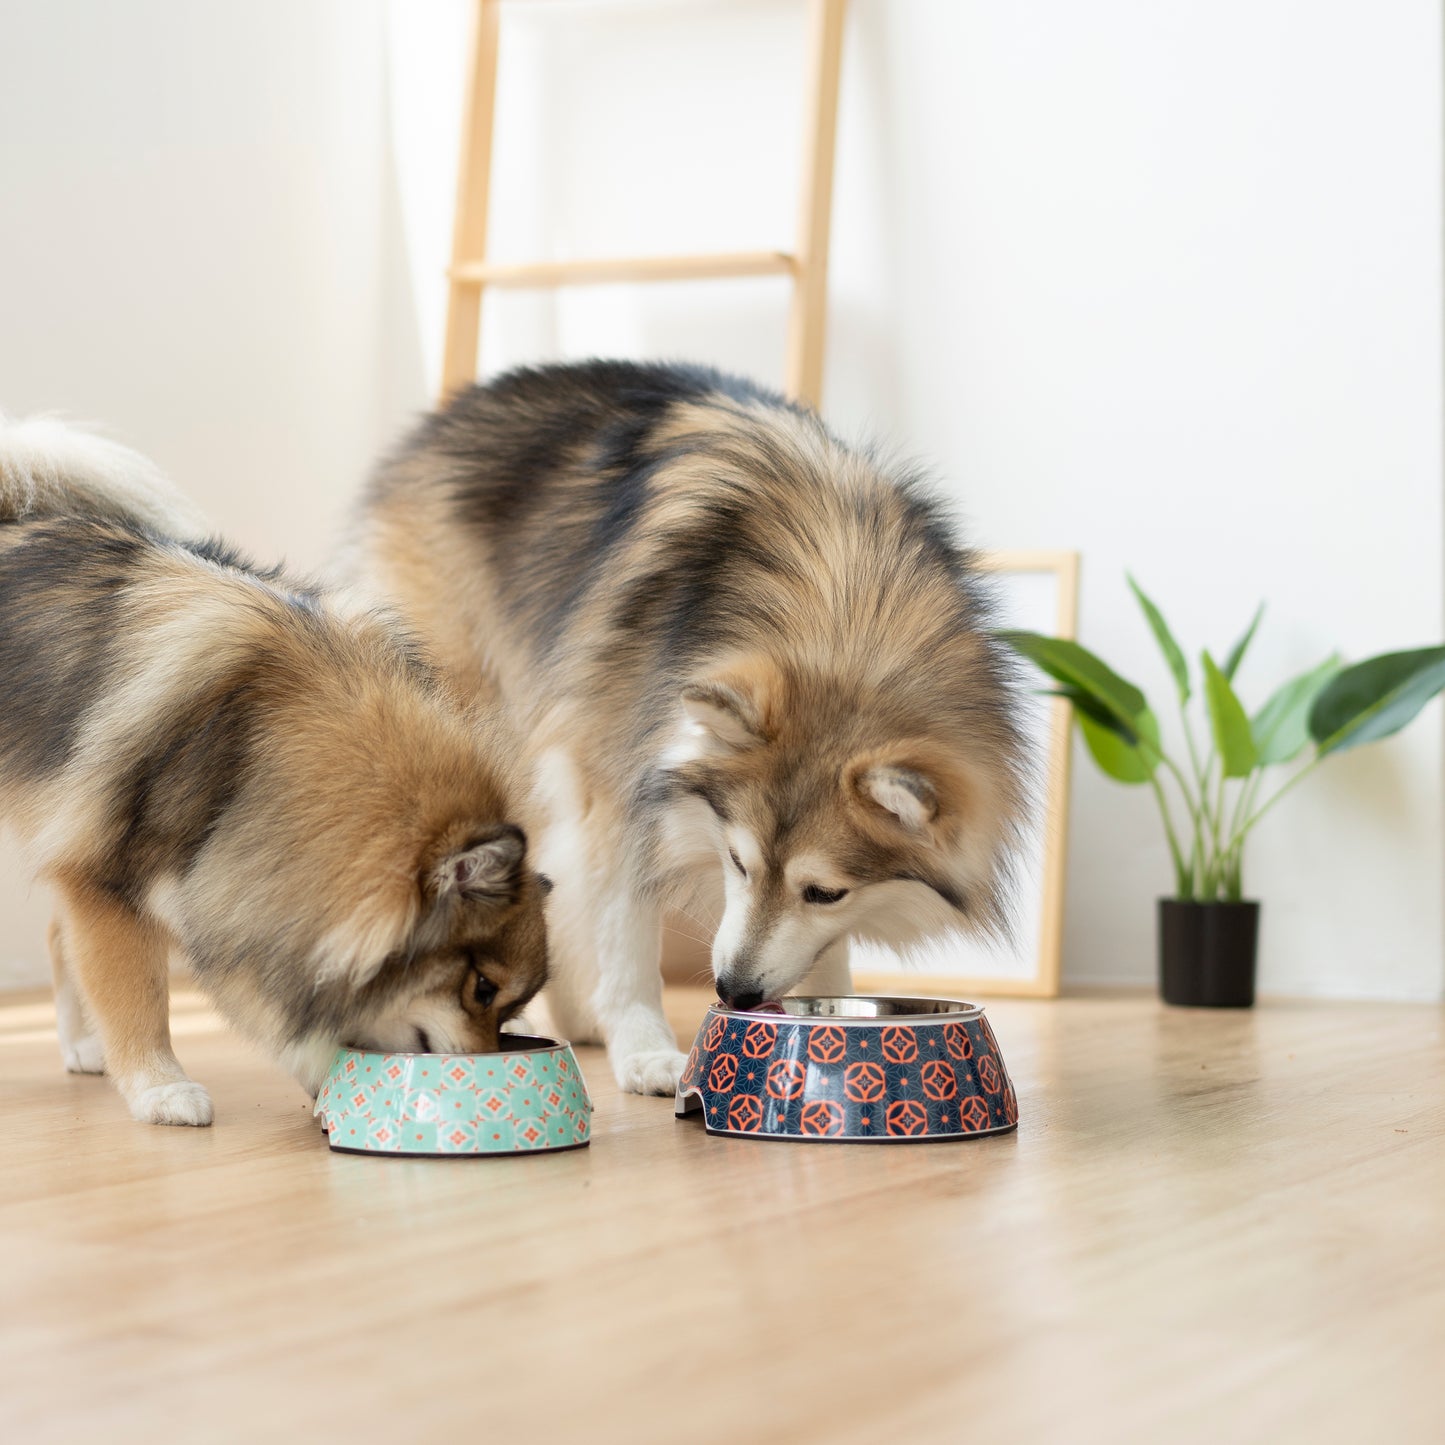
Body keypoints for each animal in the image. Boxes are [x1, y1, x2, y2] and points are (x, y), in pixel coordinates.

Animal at [0, 416, 549, 1115]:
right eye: (480, 989)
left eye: (507, 1009)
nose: (489, 1064)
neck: (255, 754)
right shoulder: (111, 888)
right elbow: (140, 1001)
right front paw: (161, 1089)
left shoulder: (221, 893)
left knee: (54, 939)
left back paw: (81, 1048)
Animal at [346, 361, 1028, 1092]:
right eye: (736, 861)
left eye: (823, 891)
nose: (732, 990)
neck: (849, 623)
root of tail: (460, 406)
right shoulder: (619, 793)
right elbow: (625, 936)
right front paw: (643, 1048)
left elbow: (825, 948)